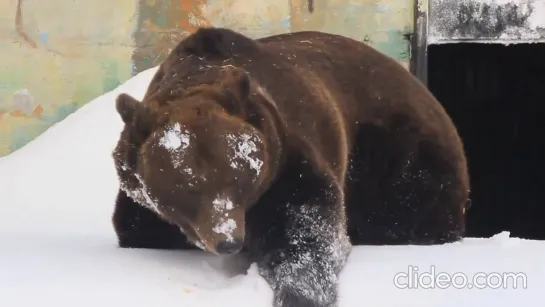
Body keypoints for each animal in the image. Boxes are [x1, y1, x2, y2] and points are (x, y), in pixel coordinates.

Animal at [110, 27, 468, 306]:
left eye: (238, 176)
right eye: (187, 185)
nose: (229, 241)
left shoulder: (286, 157)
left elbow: (306, 227)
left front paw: (301, 292)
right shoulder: (142, 202)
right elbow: (137, 227)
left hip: (395, 150)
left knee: (410, 206)